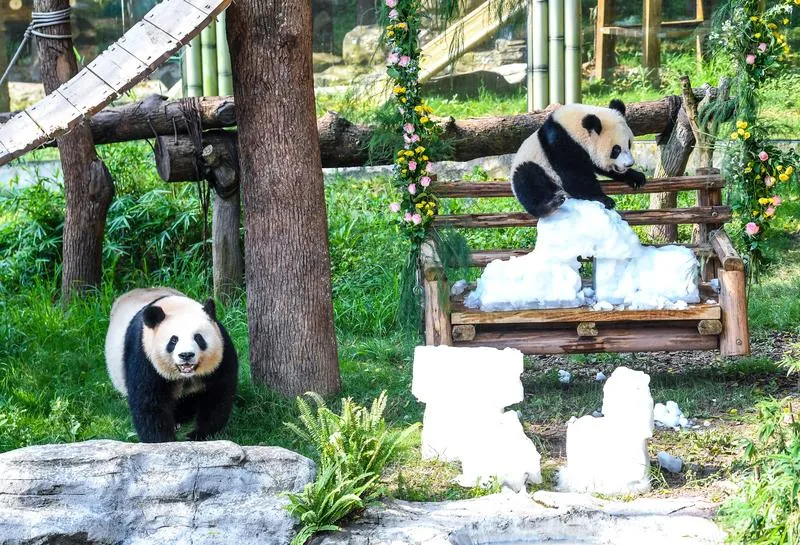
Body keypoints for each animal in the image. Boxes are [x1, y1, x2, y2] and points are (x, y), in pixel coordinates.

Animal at [105, 287, 238, 443]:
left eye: (198, 338)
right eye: (173, 340)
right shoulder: (144, 354)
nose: (186, 355)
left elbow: (217, 395)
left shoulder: (222, 352)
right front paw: (163, 441)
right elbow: (149, 400)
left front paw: (198, 435)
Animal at [510, 99, 647, 218]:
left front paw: (636, 177)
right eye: (616, 150)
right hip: (533, 164)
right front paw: (604, 199)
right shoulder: (561, 143)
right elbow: (574, 177)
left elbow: (599, 167)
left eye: (629, 144)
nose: (629, 164)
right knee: (529, 181)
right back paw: (550, 204)